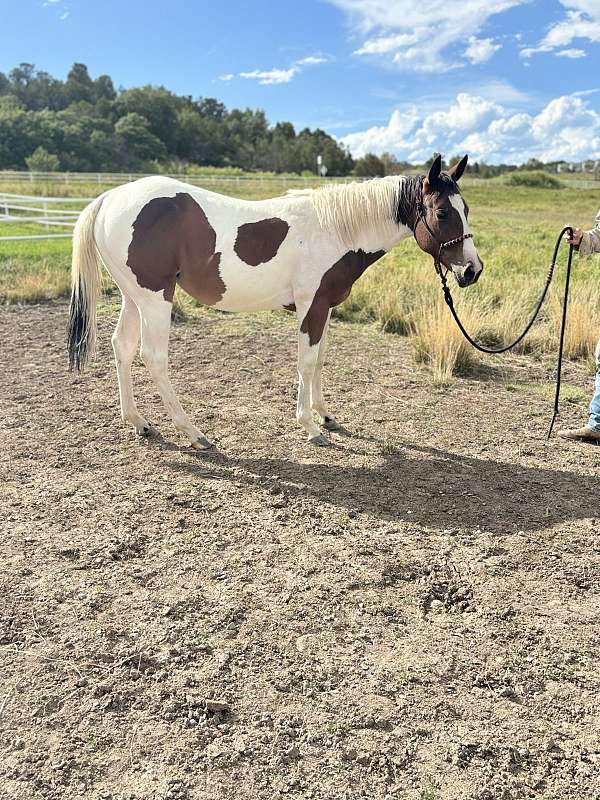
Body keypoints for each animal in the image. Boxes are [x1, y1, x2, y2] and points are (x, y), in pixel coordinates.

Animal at [68, 153, 486, 446]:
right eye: (443, 213)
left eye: (467, 210)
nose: (472, 270)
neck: (335, 230)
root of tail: (109, 198)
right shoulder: (310, 307)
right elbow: (305, 363)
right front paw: (310, 427)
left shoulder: (324, 308)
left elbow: (319, 361)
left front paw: (326, 416)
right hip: (156, 300)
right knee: (153, 358)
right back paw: (193, 432)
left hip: (133, 298)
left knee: (122, 347)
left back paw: (139, 423)